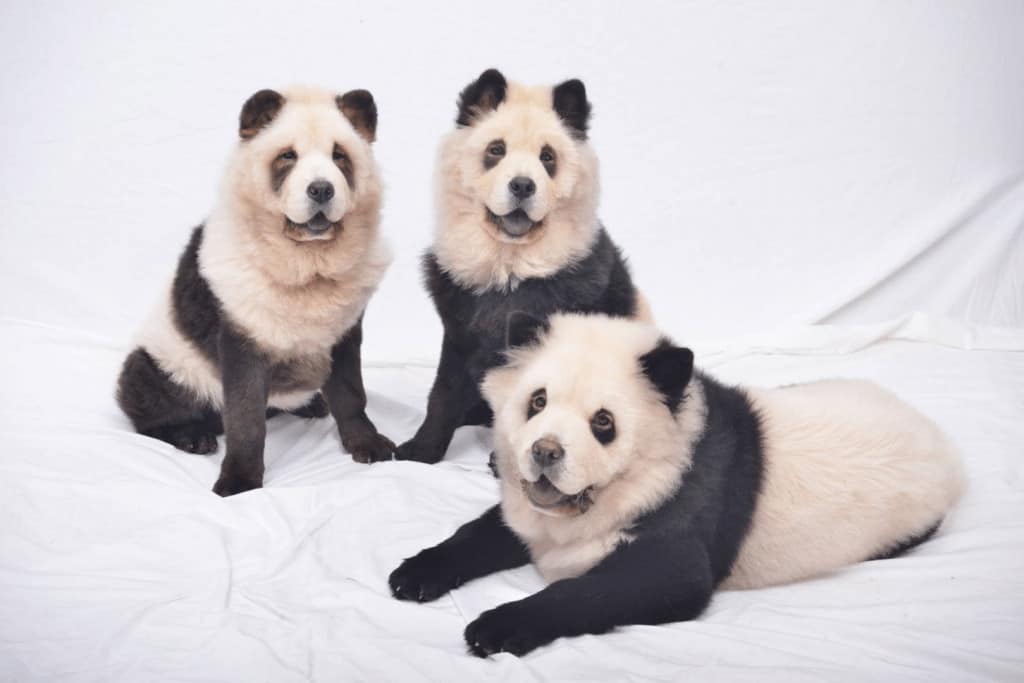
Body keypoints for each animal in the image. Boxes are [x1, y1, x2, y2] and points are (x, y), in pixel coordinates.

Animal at [116, 86, 395, 497]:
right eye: (288, 157)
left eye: (339, 156)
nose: (321, 190)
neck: (307, 260)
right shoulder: (238, 318)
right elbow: (246, 411)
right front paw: (239, 480)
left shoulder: (344, 322)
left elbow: (349, 388)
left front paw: (368, 443)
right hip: (165, 361)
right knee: (147, 396)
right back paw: (191, 435)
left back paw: (310, 404)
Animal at [389, 313, 965, 657]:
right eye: (537, 401)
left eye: (603, 423)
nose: (545, 453)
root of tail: (937, 436)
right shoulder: (536, 512)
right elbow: (485, 532)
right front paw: (415, 573)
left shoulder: (686, 506)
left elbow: (631, 585)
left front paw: (497, 626)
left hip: (905, 519)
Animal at [394, 69, 652, 465]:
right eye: (496, 150)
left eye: (548, 157)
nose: (522, 186)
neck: (509, 264)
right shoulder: (461, 319)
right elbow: (443, 390)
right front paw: (420, 450)